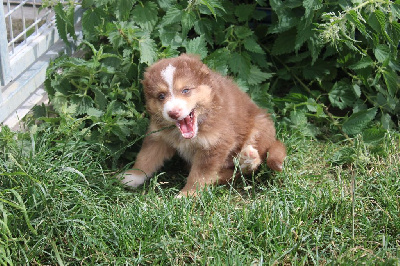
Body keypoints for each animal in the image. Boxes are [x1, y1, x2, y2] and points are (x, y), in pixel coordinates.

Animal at [120, 53, 286, 195]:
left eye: (185, 90)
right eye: (161, 96)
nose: (173, 113)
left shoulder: (214, 145)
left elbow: (200, 174)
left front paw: (187, 195)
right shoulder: (158, 137)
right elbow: (145, 158)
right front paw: (131, 177)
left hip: (260, 127)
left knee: (248, 168)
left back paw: (248, 159)